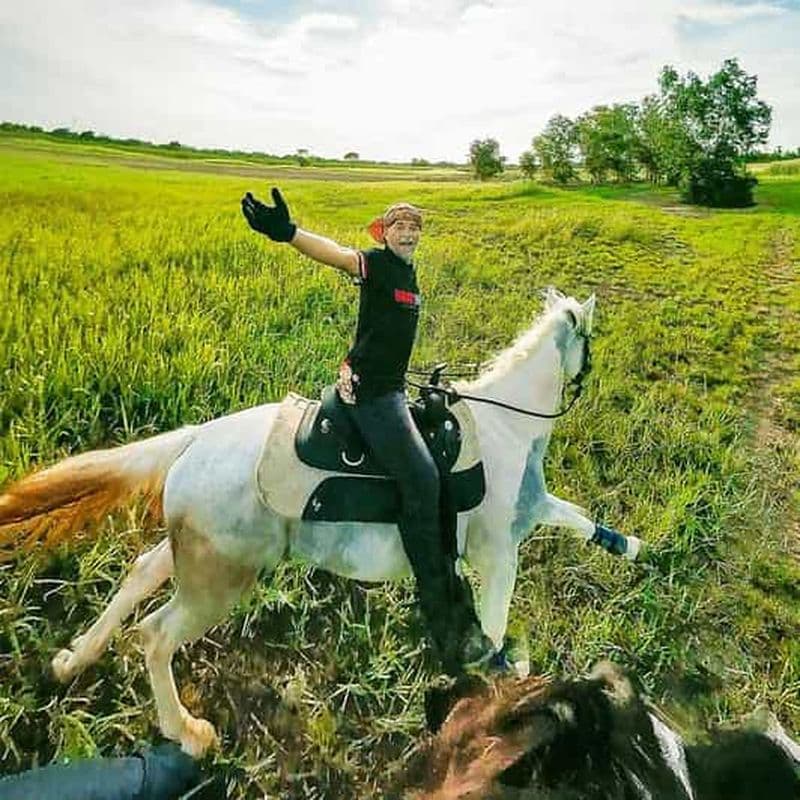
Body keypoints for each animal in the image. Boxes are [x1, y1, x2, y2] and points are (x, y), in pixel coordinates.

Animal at [0, 288, 641, 757]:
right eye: (593, 340)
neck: (505, 427)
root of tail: (196, 438)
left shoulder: (532, 510)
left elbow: (578, 516)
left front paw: (629, 545)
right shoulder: (498, 554)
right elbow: (499, 621)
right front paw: (499, 678)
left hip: (191, 552)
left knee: (137, 574)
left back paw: (73, 659)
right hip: (217, 579)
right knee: (155, 635)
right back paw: (187, 732)